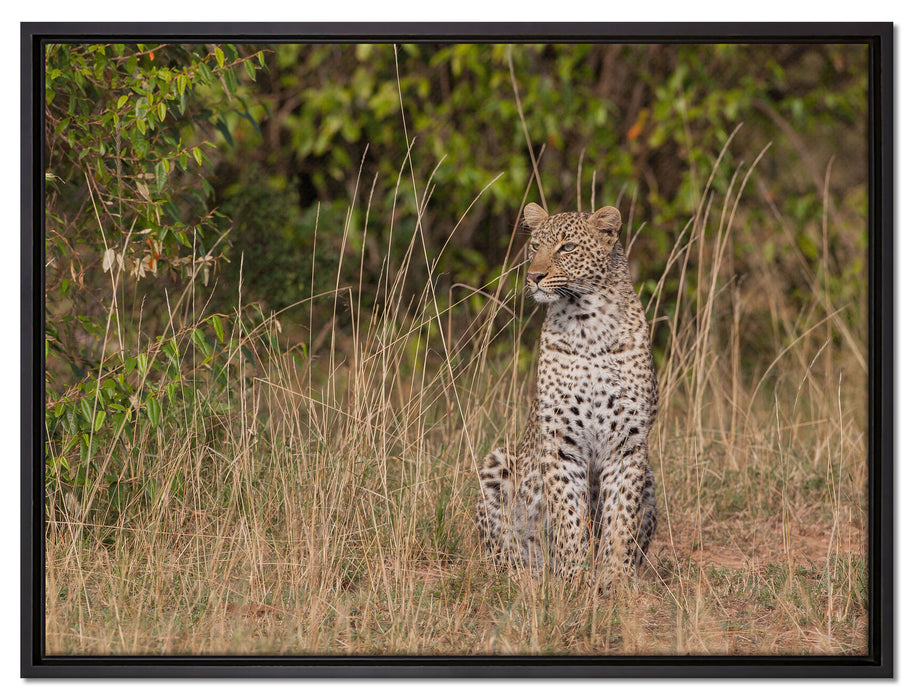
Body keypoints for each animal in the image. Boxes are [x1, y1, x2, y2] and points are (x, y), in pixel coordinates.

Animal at [474, 202, 658, 591]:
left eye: (567, 248)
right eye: (534, 246)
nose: (534, 276)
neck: (588, 325)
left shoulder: (628, 443)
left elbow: (621, 517)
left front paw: (615, 580)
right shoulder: (561, 442)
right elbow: (568, 513)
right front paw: (573, 577)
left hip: (650, 476)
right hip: (497, 462)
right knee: (501, 550)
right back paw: (525, 575)